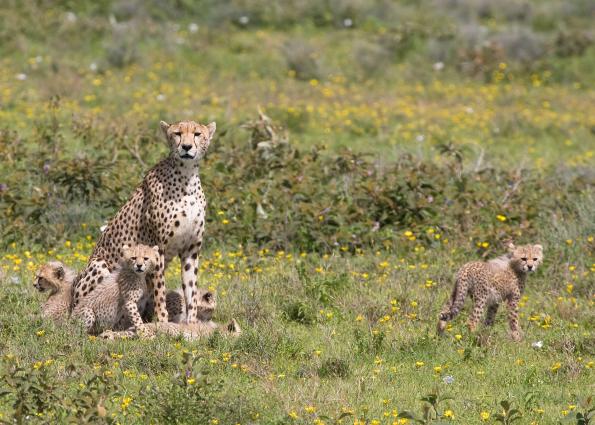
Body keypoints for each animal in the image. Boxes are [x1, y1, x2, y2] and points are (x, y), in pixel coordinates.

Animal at [72, 119, 217, 322]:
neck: (187, 176)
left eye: (197, 134)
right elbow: (160, 291)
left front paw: (192, 322)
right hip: (99, 267)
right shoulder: (157, 247)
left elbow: (191, 290)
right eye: (178, 133)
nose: (186, 147)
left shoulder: (191, 249)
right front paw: (163, 322)